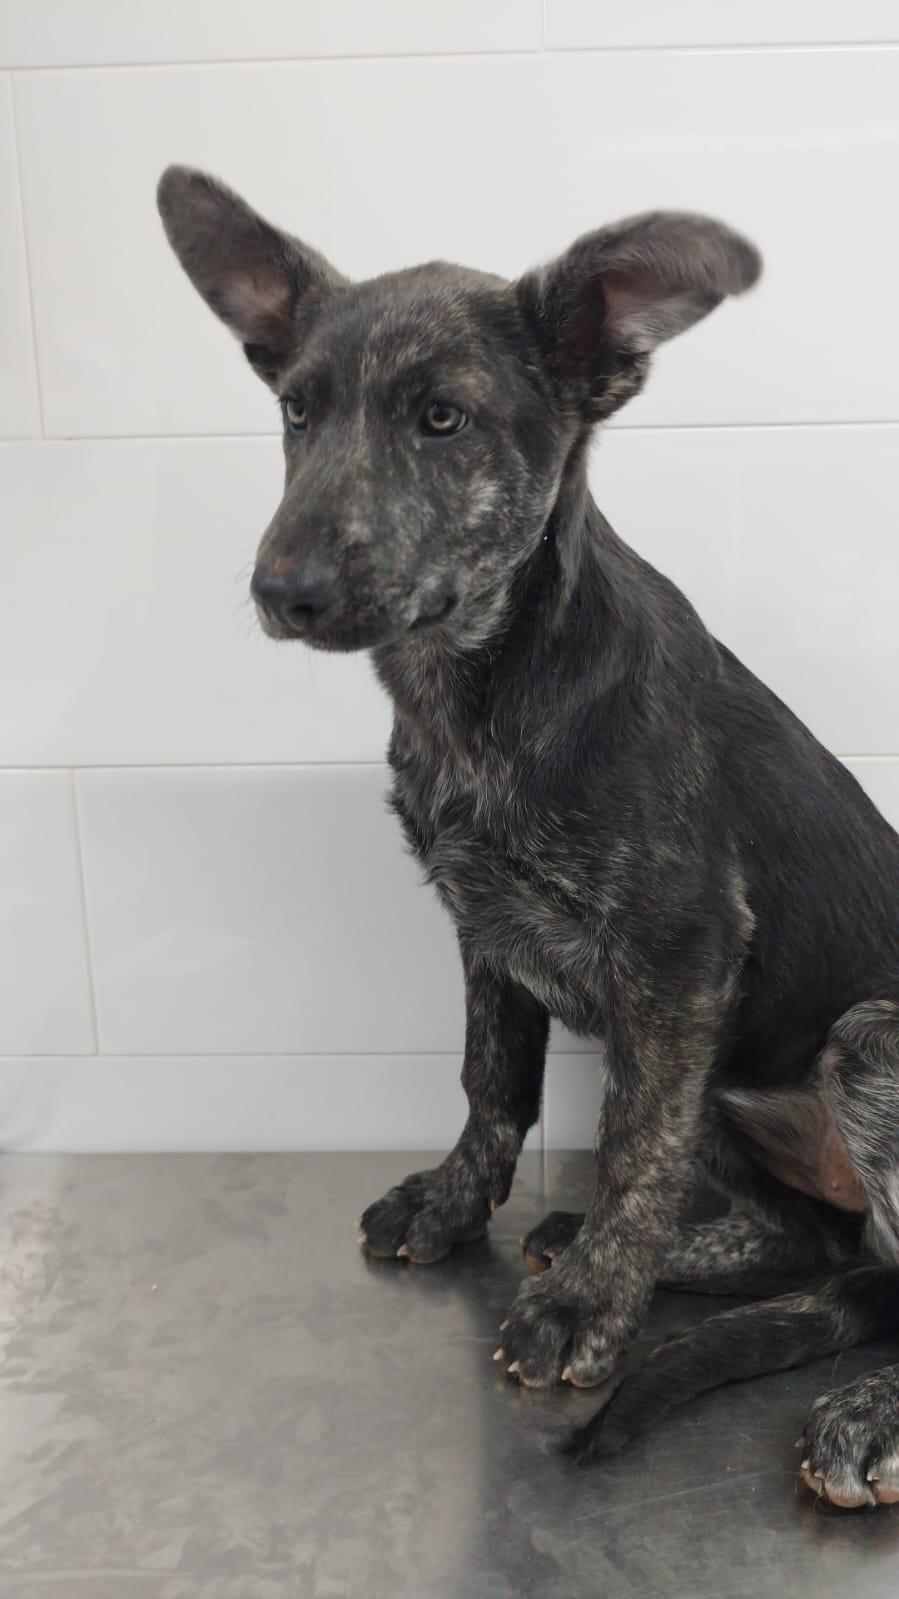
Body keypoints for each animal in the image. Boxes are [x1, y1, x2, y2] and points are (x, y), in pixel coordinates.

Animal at [158, 167, 899, 1509]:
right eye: (294, 412)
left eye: (441, 420)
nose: (281, 590)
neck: (477, 696)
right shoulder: (485, 931)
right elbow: (490, 1084)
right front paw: (460, 1206)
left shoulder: (682, 959)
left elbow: (631, 1147)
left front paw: (589, 1308)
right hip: (740, 1081)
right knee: (803, 1240)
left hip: (860, 1041)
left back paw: (853, 1404)